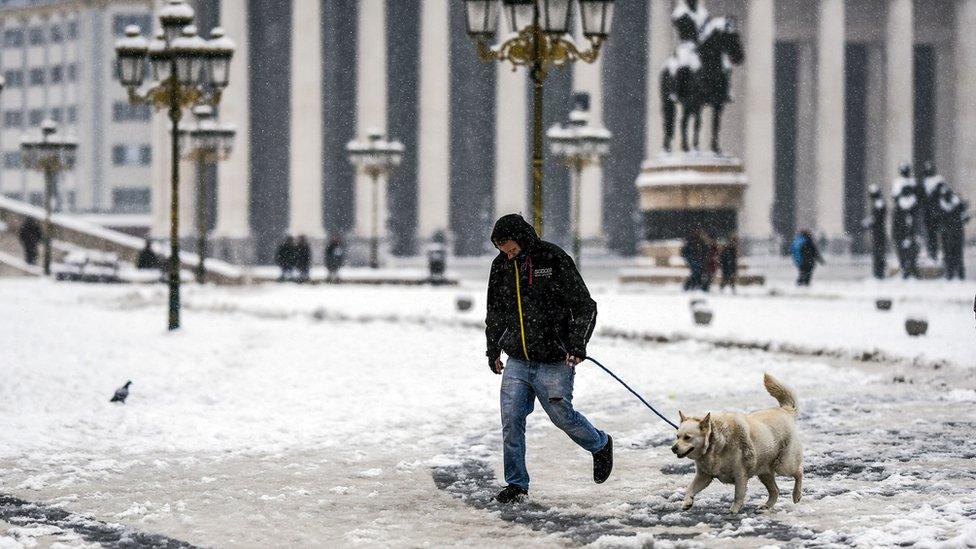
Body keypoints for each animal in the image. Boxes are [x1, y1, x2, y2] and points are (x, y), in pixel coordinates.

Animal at [672, 372, 800, 512]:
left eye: (687, 437)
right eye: (677, 436)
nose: (673, 448)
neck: (715, 443)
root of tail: (785, 410)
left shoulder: (740, 474)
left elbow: (738, 494)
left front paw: (734, 510)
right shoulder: (704, 476)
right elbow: (690, 488)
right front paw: (687, 502)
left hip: (783, 465)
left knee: (799, 471)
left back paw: (797, 495)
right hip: (764, 471)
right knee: (775, 490)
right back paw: (766, 505)